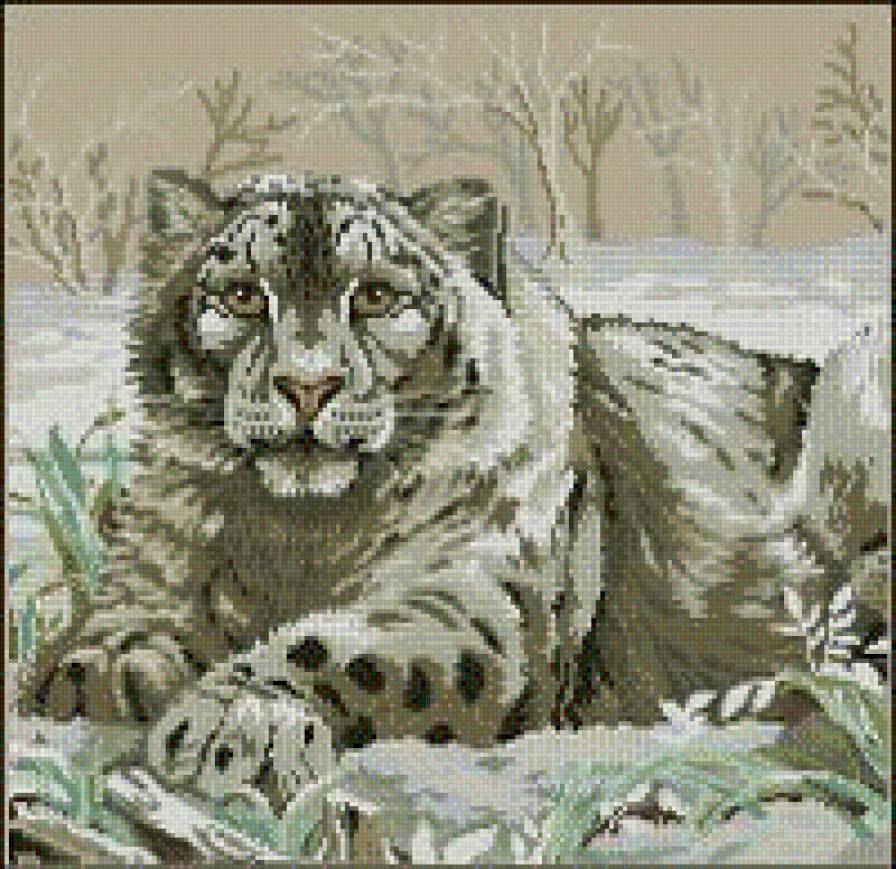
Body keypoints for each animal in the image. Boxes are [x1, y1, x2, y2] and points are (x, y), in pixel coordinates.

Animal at [21, 170, 887, 812]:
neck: (299, 536)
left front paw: (239, 720)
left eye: (375, 295)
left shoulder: (477, 598)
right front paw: (102, 672)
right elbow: (123, 622)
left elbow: (336, 643)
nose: (307, 384)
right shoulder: (153, 563)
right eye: (241, 294)